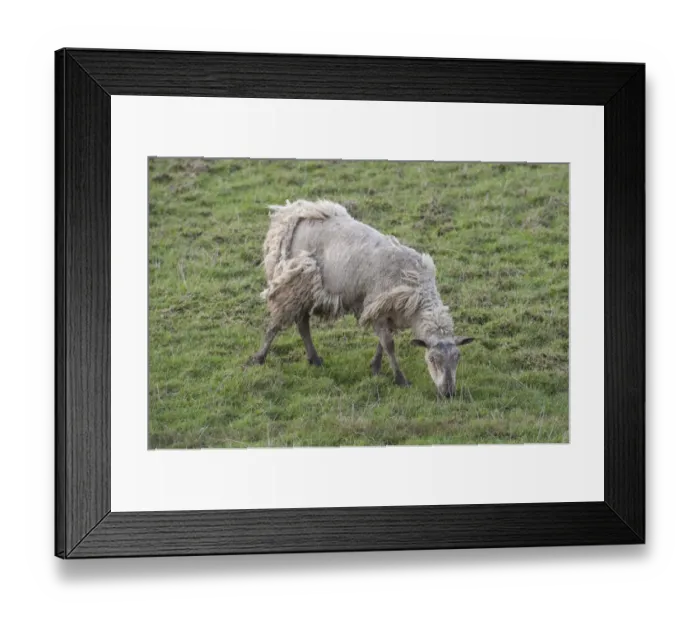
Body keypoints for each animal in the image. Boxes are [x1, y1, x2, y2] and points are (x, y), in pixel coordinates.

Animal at [246, 199, 474, 397]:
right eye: (433, 359)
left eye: (457, 358)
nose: (448, 393)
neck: (418, 292)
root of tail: (290, 213)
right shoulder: (379, 307)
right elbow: (389, 344)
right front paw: (400, 379)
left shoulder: (386, 310)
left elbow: (383, 342)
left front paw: (375, 367)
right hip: (294, 282)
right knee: (277, 323)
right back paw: (259, 357)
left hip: (306, 289)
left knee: (302, 323)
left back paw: (314, 359)